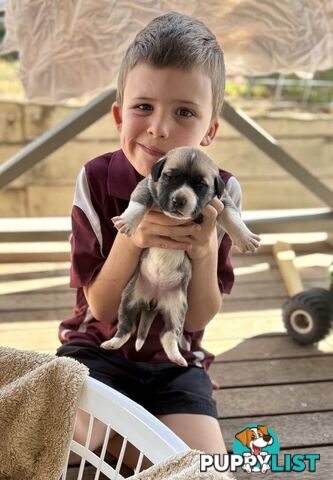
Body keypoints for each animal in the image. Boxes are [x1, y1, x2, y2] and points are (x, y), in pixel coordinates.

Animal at [100, 145, 260, 364]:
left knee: (167, 334)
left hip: (177, 308)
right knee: (127, 327)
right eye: (169, 177)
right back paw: (112, 343)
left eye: (200, 185)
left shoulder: (223, 201)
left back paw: (177, 357)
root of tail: (153, 301)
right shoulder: (147, 186)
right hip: (128, 299)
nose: (179, 200)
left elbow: (233, 217)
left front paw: (245, 237)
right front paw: (127, 221)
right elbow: (138, 205)